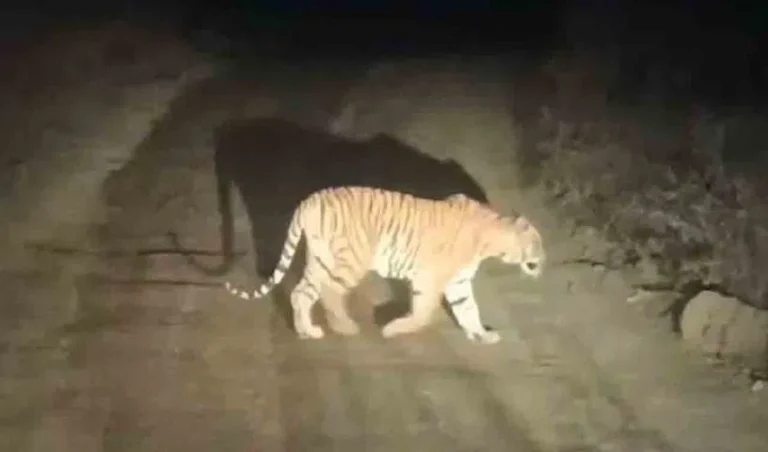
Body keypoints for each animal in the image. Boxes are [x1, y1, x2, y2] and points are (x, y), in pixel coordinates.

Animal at [224, 186, 545, 344]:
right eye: (538, 244)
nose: (544, 262)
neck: (492, 240)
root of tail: (309, 200)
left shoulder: (459, 282)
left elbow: (469, 310)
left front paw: (482, 335)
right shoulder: (430, 279)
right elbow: (423, 314)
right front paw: (392, 330)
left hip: (320, 259)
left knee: (301, 292)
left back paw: (308, 332)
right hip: (351, 260)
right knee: (329, 293)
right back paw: (344, 327)